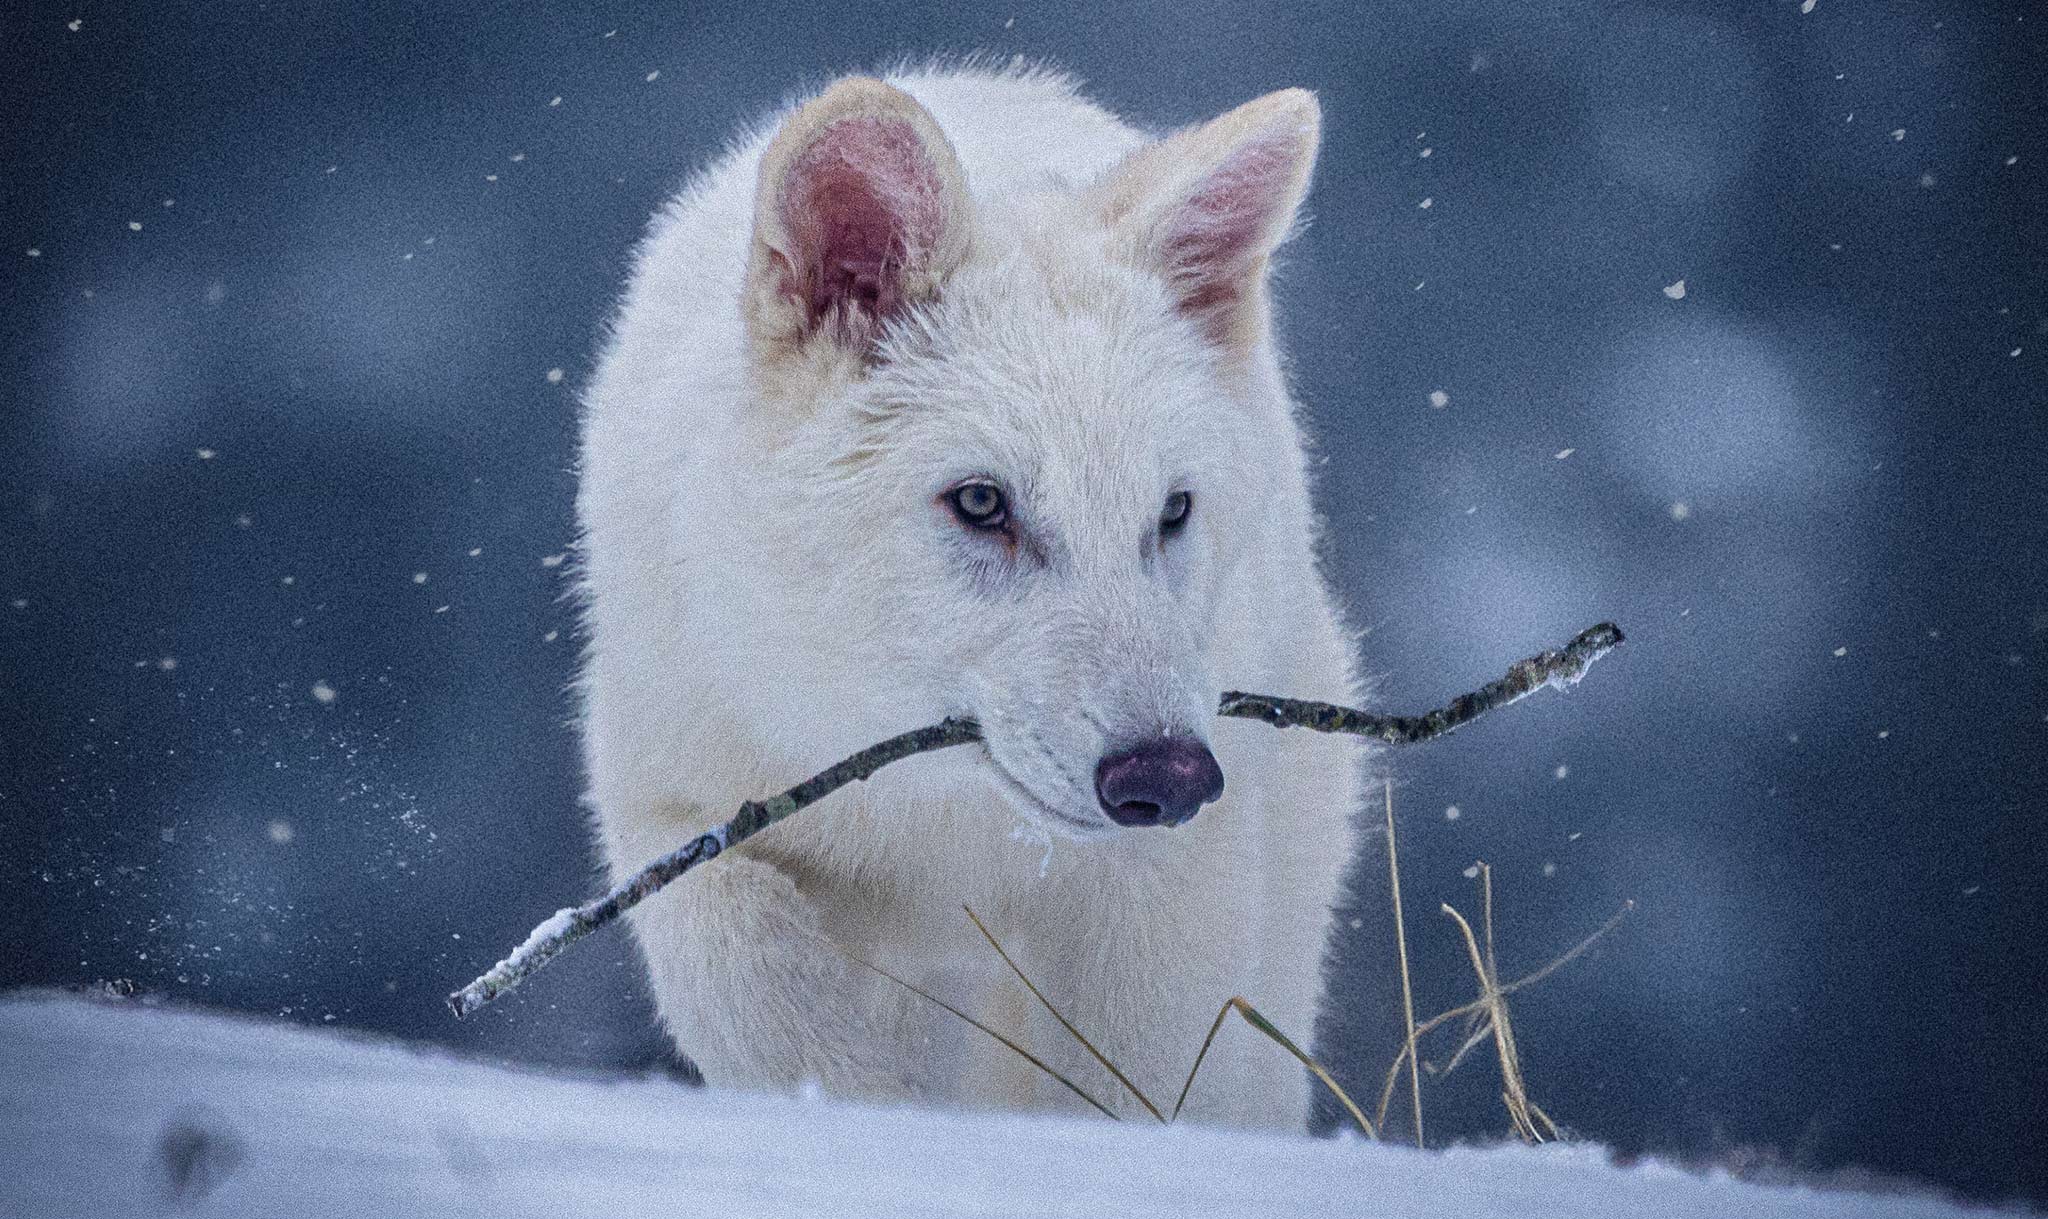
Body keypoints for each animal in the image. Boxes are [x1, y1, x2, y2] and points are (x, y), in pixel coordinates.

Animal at [576, 61, 1370, 1130]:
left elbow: (1138, 1087)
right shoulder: (676, 809)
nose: (1168, 777)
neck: (940, 816)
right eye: (982, 502)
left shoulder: (1162, 888)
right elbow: (756, 985)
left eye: (1171, 511)